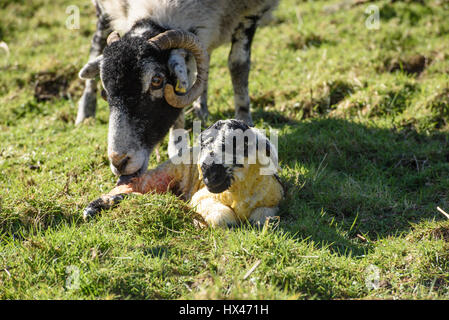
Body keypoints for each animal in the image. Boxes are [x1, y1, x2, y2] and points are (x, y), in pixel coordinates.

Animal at [77, 0, 280, 179]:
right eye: (106, 91)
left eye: (156, 81)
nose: (119, 162)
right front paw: (178, 146)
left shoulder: (250, 13)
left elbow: (238, 65)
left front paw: (244, 118)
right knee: (96, 43)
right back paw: (85, 113)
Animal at [82, 120, 282, 228]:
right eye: (204, 144)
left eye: (238, 145)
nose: (207, 172)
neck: (239, 195)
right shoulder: (200, 198)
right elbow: (222, 219)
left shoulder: (274, 199)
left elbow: (263, 218)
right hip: (162, 173)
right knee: (129, 186)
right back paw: (94, 208)